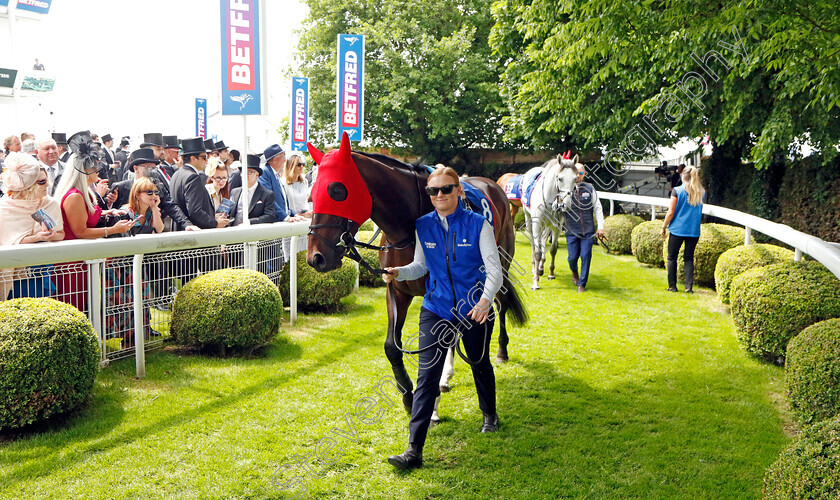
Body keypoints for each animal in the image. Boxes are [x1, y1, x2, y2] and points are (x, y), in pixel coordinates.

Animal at [306, 133, 528, 410]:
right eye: (311, 193)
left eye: (337, 190)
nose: (316, 257)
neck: (407, 228)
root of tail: (492, 184)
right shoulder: (397, 289)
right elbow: (392, 346)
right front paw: (408, 394)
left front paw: (431, 406)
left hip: (499, 266)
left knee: (500, 304)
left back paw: (500, 351)